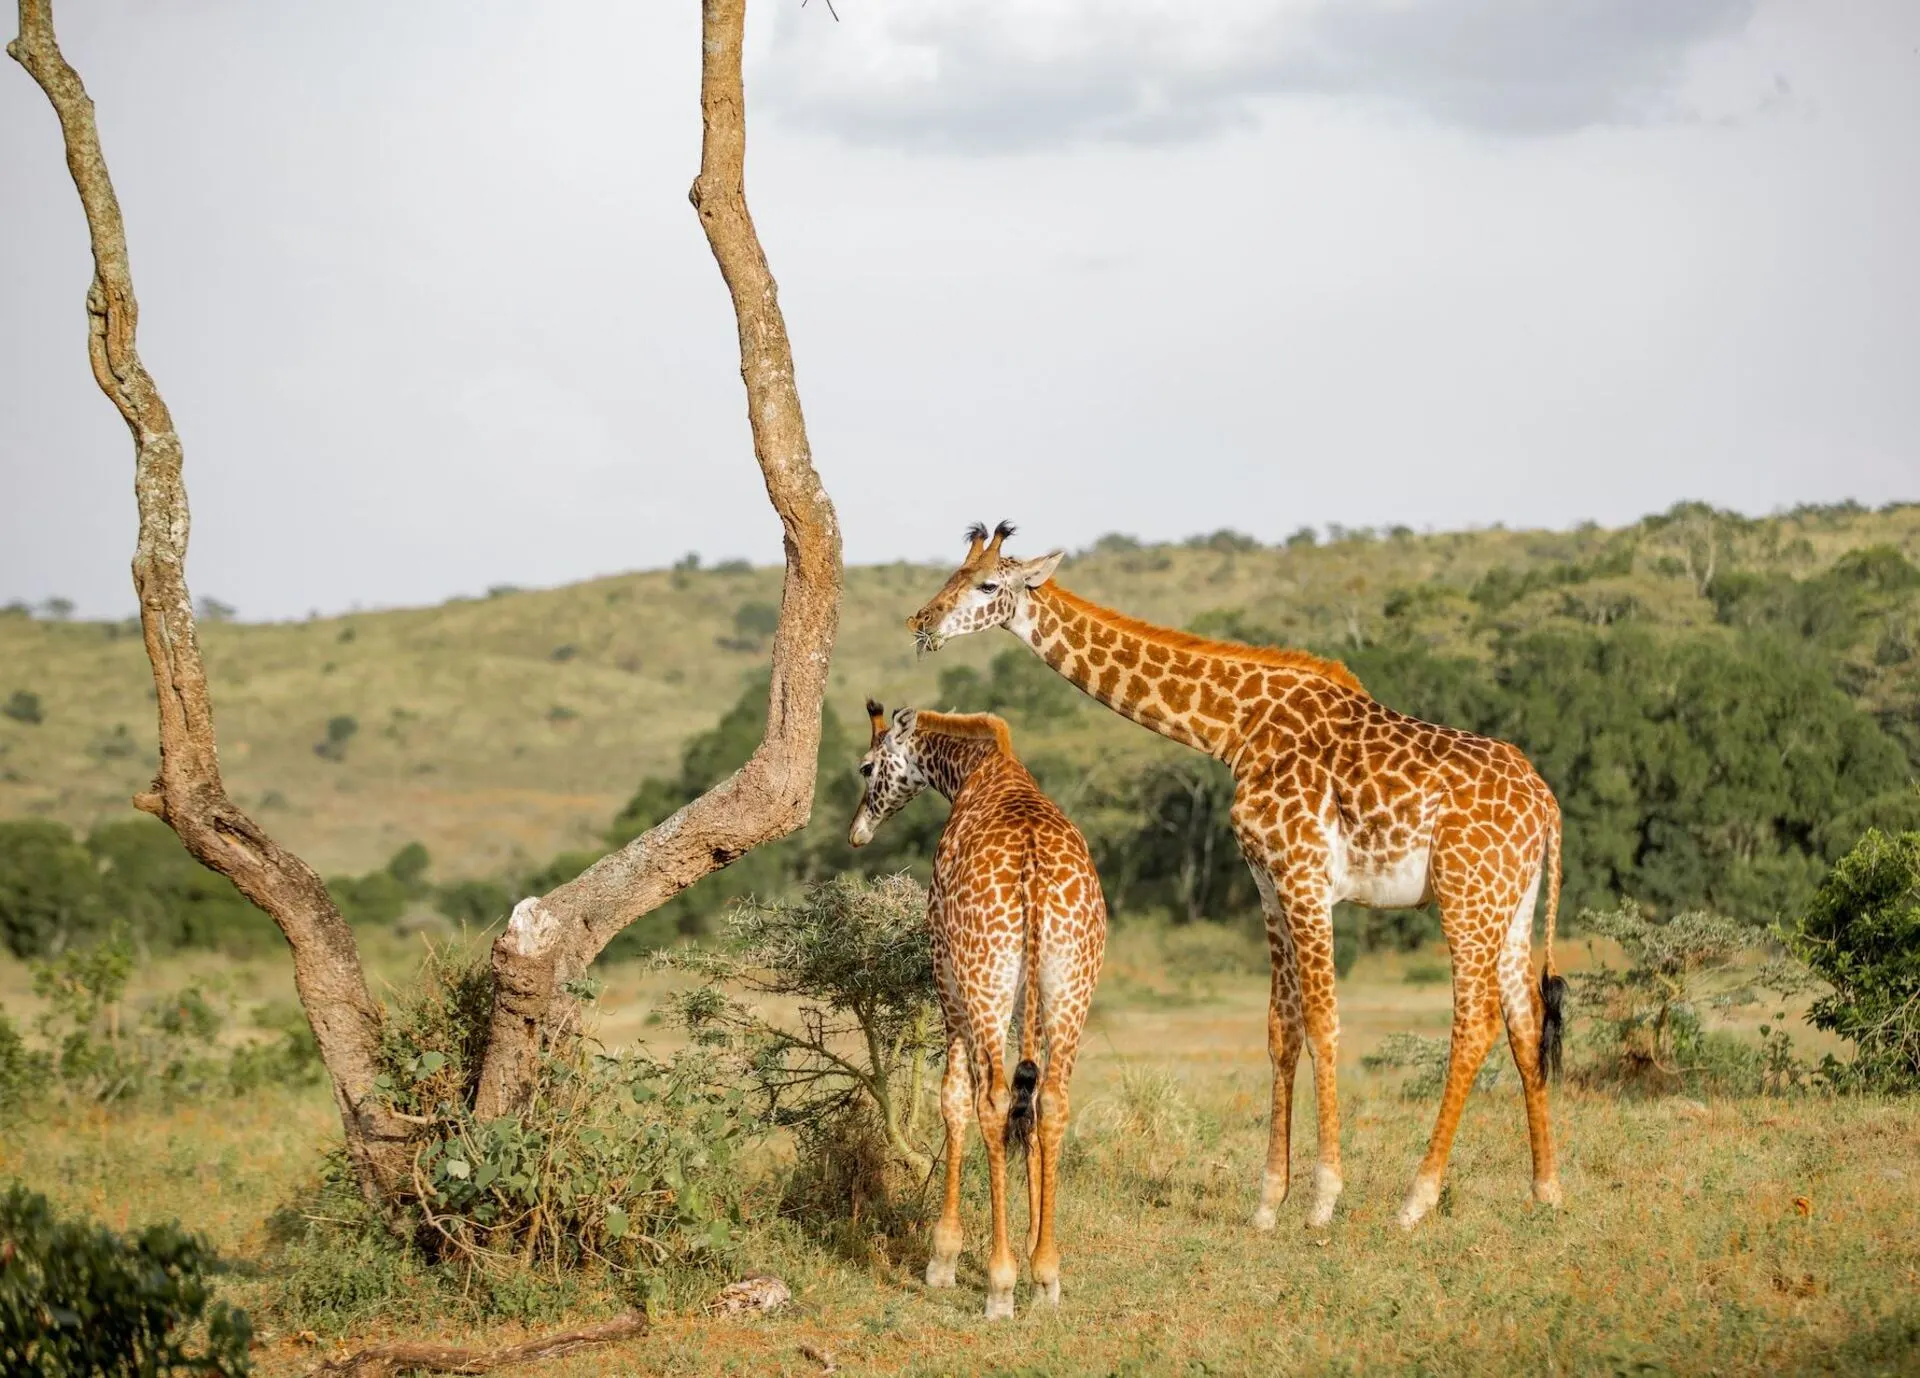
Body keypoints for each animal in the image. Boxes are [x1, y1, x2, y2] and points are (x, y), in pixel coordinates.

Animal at [848, 700, 1108, 1319]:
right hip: (1070, 984)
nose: (857, 833)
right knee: (1051, 1100)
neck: (973, 772)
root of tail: (1034, 877)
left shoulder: (944, 975)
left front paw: (942, 1258)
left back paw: (998, 1283)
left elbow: (952, 1097)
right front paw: (1038, 1257)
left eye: (867, 768)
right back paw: (1046, 1273)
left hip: (980, 979)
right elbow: (1028, 1105)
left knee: (989, 1100)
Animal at [905, 521, 1567, 1231]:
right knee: (1525, 1020)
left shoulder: (1305, 874)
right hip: (1511, 903)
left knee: (1475, 1024)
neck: (1236, 728)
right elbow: (1282, 1029)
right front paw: (1268, 1199)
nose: (922, 622)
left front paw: (1324, 1195)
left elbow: (1325, 1023)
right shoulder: (1268, 882)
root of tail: (1546, 803)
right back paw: (1545, 1187)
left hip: (1465, 897)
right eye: (952, 574)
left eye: (987, 585)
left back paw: (1417, 1197)